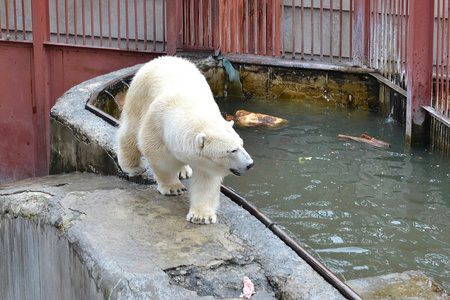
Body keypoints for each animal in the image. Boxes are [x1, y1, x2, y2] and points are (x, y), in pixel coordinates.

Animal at [118, 56, 255, 225]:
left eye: (242, 145)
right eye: (232, 150)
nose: (250, 164)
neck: (188, 107)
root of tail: (164, 58)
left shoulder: (205, 160)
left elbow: (205, 180)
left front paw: (201, 216)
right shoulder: (156, 128)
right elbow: (161, 161)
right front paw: (173, 188)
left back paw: (184, 171)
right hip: (138, 96)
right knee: (130, 132)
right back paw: (133, 167)